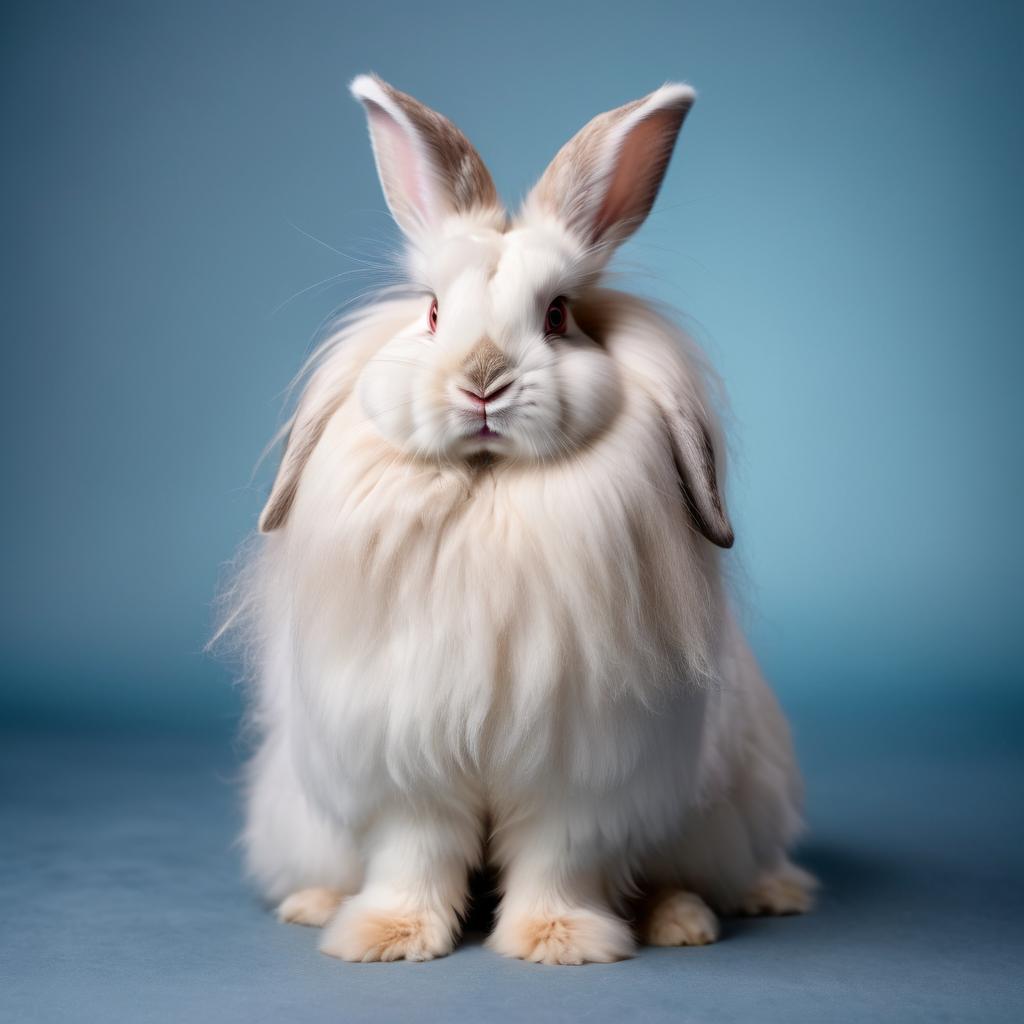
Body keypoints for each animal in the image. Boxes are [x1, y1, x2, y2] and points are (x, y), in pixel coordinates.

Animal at [224, 75, 815, 962]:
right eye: (433, 311)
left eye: (559, 316)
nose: (482, 380)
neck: (487, 493)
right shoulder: (408, 767)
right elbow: (414, 855)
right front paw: (387, 937)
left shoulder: (579, 776)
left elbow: (557, 859)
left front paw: (559, 940)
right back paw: (314, 902)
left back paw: (703, 915)